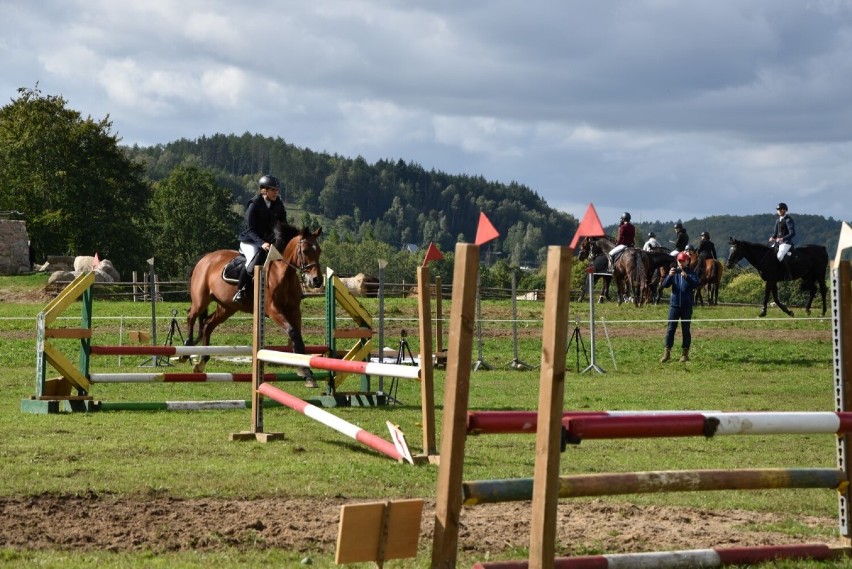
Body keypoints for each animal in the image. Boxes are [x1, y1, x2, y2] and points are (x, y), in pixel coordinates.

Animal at [184, 224, 322, 374]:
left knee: (208, 324)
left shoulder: (294, 310)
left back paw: (202, 362)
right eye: (305, 251)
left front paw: (304, 369)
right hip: (201, 301)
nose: (317, 280)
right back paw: (186, 349)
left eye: (319, 251)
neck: (282, 272)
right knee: (191, 316)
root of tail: (205, 258)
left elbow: (297, 335)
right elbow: (292, 331)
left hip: (227, 307)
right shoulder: (273, 310)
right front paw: (304, 370)